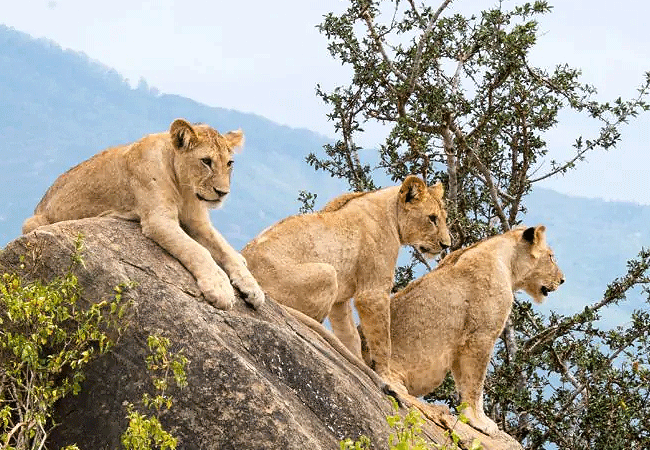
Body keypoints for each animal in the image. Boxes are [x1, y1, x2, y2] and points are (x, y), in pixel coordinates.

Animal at [22, 119, 264, 310]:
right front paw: (220, 288)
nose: (222, 193)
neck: (184, 188)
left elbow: (224, 249)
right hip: (32, 223)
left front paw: (253, 288)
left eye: (229, 163)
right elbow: (198, 250)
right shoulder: (158, 220)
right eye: (206, 161)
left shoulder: (198, 221)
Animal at [241, 175, 452, 380]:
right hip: (328, 272)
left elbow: (350, 335)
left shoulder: (340, 301)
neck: (392, 213)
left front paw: (358, 363)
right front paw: (385, 377)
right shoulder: (372, 294)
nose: (446, 245)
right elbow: (383, 340)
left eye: (443, 219)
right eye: (432, 219)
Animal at [361, 225, 565, 435]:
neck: (508, 263)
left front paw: (469, 416)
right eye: (551, 257)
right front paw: (480, 421)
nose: (562, 280)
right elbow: (475, 384)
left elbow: (463, 383)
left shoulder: (460, 344)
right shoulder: (480, 337)